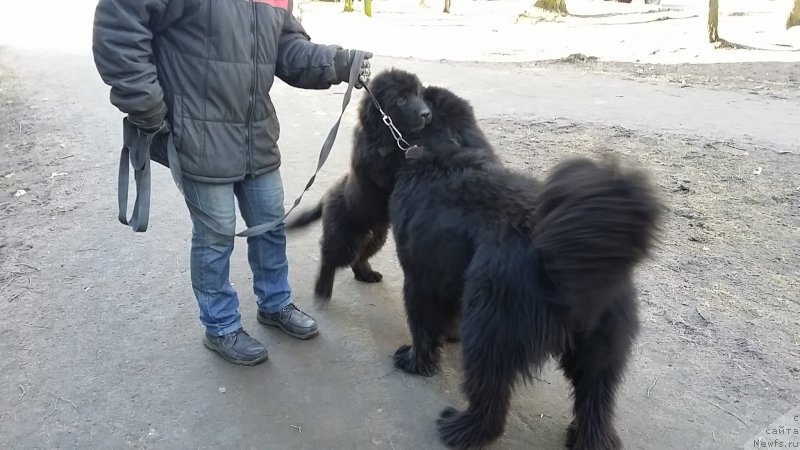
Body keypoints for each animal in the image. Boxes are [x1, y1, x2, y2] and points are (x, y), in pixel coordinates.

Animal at [286, 69, 432, 302]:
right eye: (400, 100)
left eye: (417, 94)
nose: (426, 114)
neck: (389, 135)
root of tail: (326, 196)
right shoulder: (379, 168)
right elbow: (395, 162)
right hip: (345, 238)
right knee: (329, 257)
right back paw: (322, 289)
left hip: (375, 235)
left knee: (359, 257)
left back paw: (366, 273)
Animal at [390, 86, 664, 448]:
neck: (448, 152)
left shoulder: (419, 277)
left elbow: (421, 325)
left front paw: (414, 361)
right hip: (600, 355)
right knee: (596, 407)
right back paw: (586, 438)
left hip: (490, 329)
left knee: (491, 399)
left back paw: (461, 429)